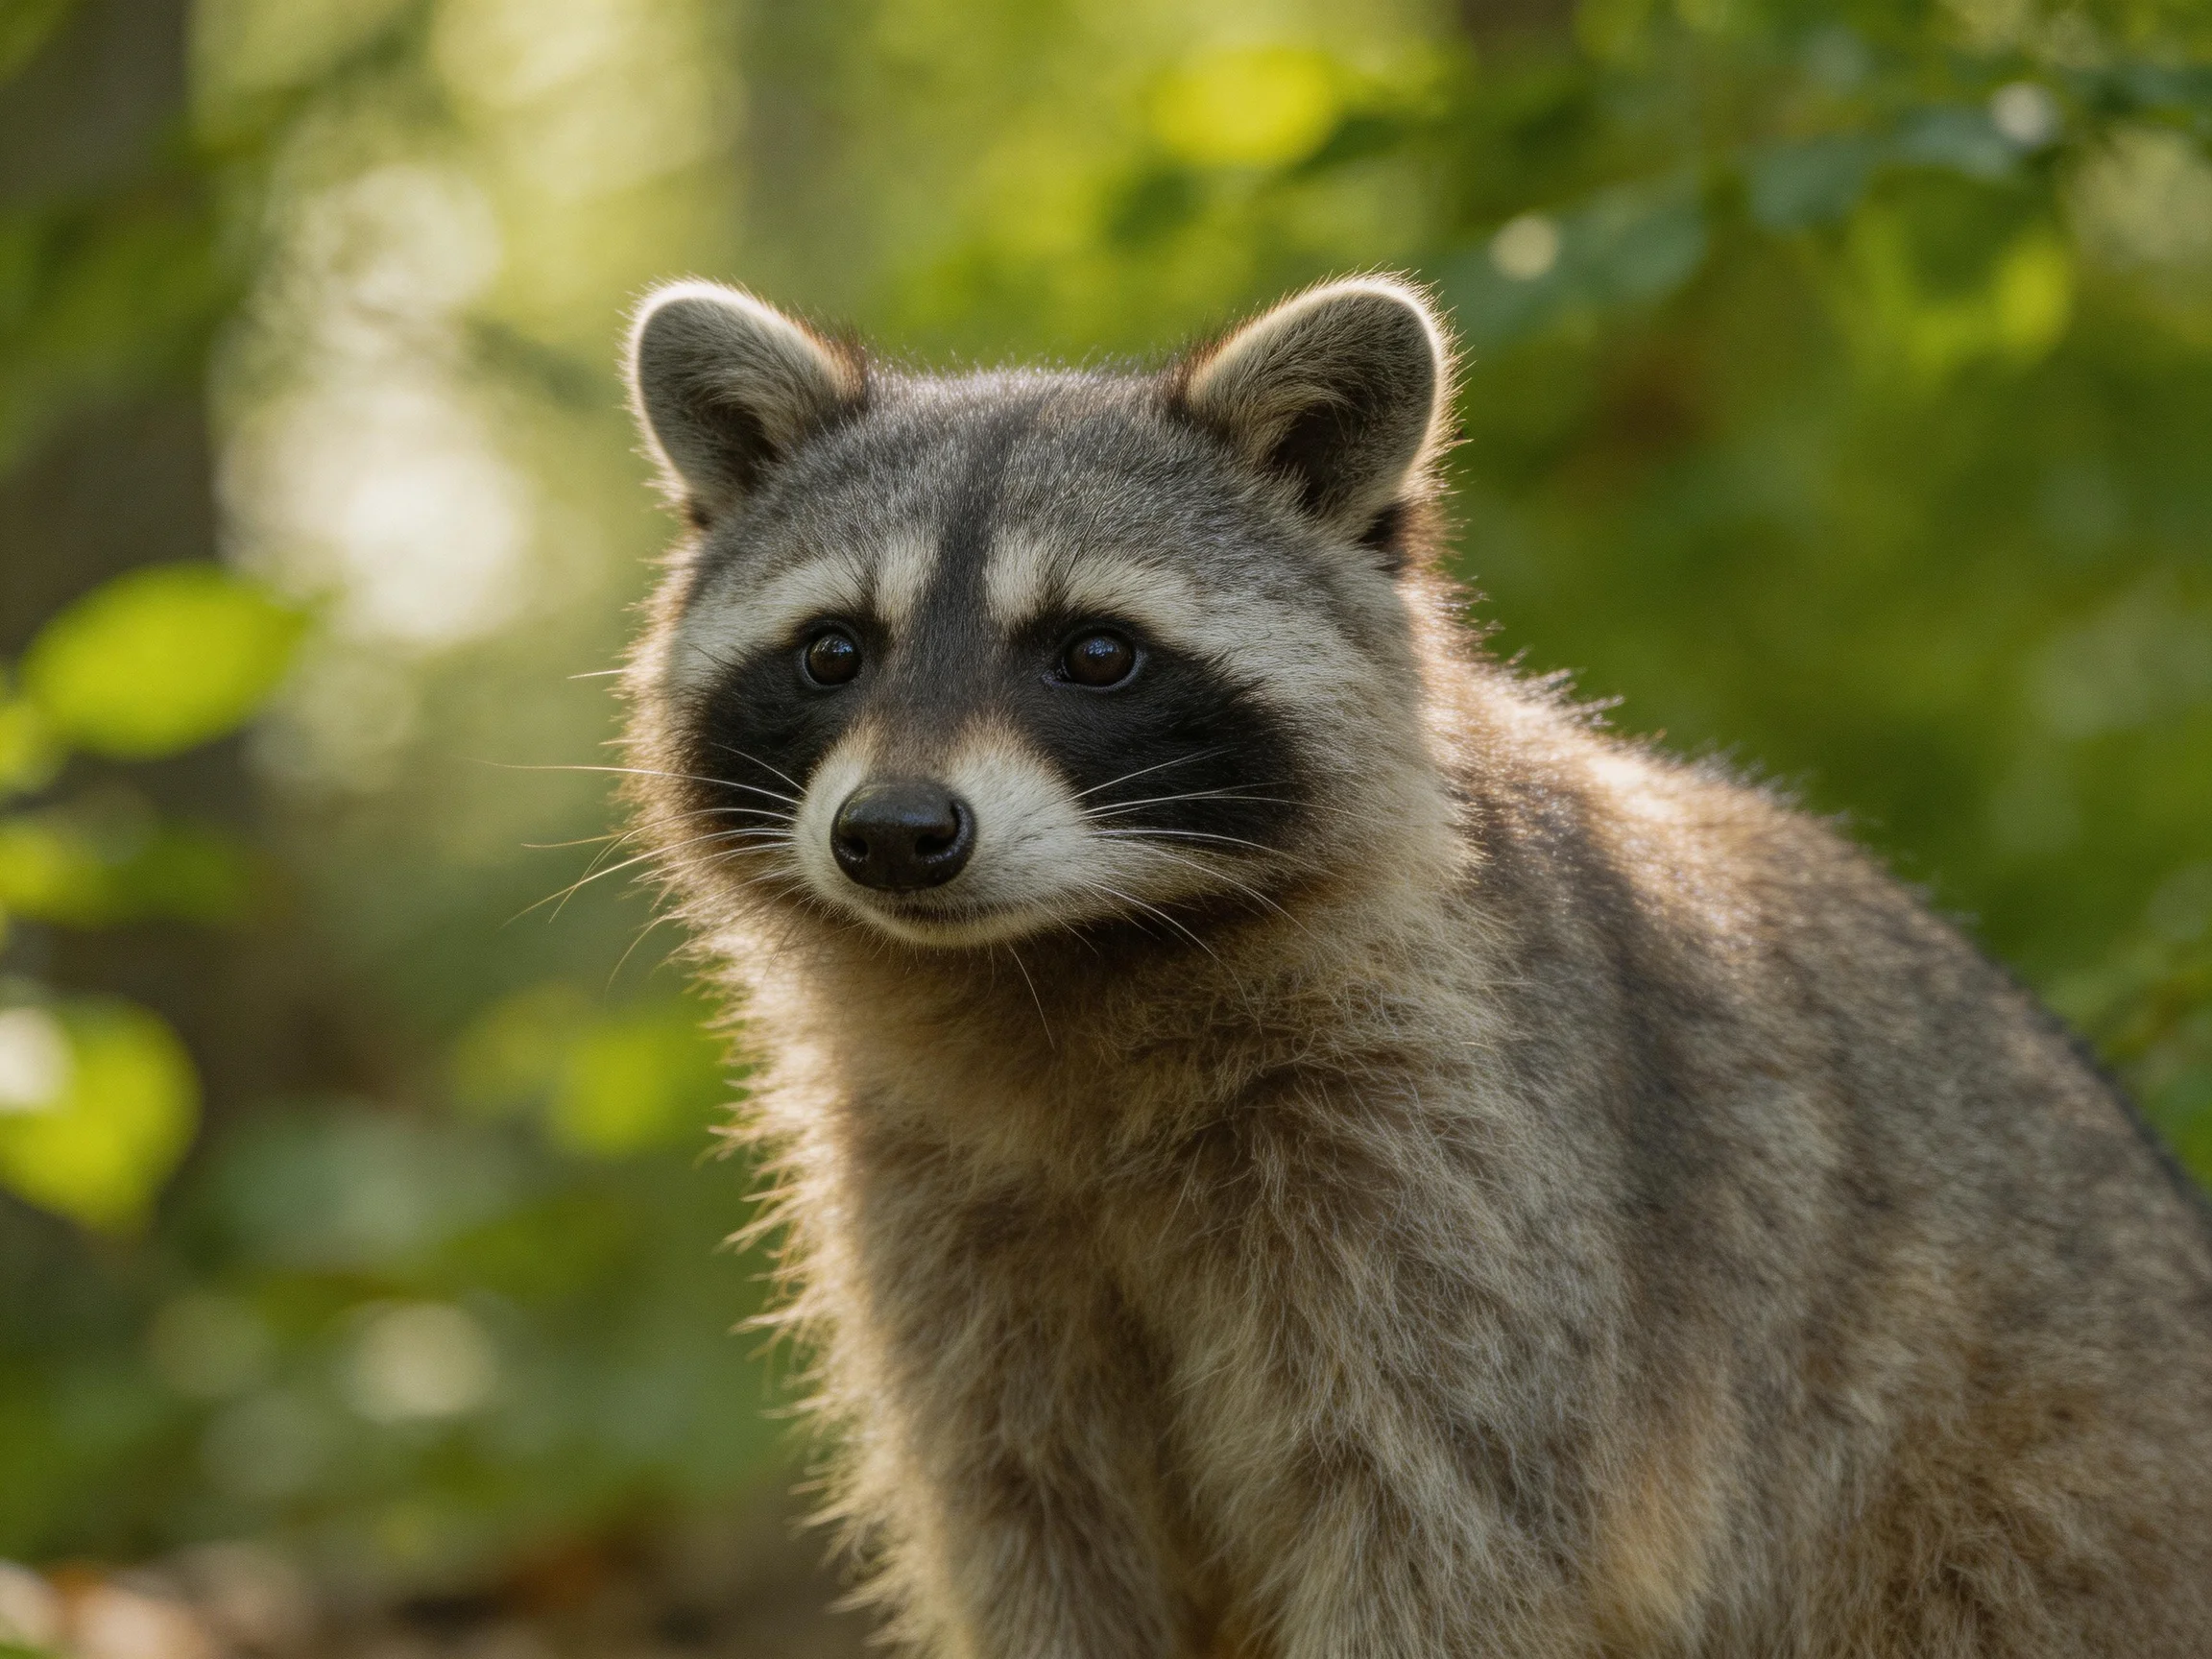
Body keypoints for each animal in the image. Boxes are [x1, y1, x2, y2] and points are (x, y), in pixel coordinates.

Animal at [617, 276, 2212, 1658]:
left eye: (1095, 653)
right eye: (833, 652)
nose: (895, 834)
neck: (1056, 966)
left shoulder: (1474, 1173)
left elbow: (1441, 1531)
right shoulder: (940, 1206)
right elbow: (1036, 1528)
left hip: (2026, 1518)